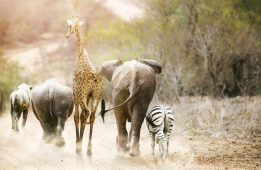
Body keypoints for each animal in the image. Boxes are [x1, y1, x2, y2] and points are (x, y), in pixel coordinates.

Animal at [65, 16, 103, 155]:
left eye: (69, 26)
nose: (67, 35)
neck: (81, 54)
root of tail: (95, 79)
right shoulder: (88, 96)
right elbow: (83, 116)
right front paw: (80, 141)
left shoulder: (75, 93)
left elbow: (76, 116)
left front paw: (77, 142)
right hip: (97, 96)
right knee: (91, 115)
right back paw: (89, 148)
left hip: (83, 96)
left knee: (85, 113)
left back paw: (81, 145)